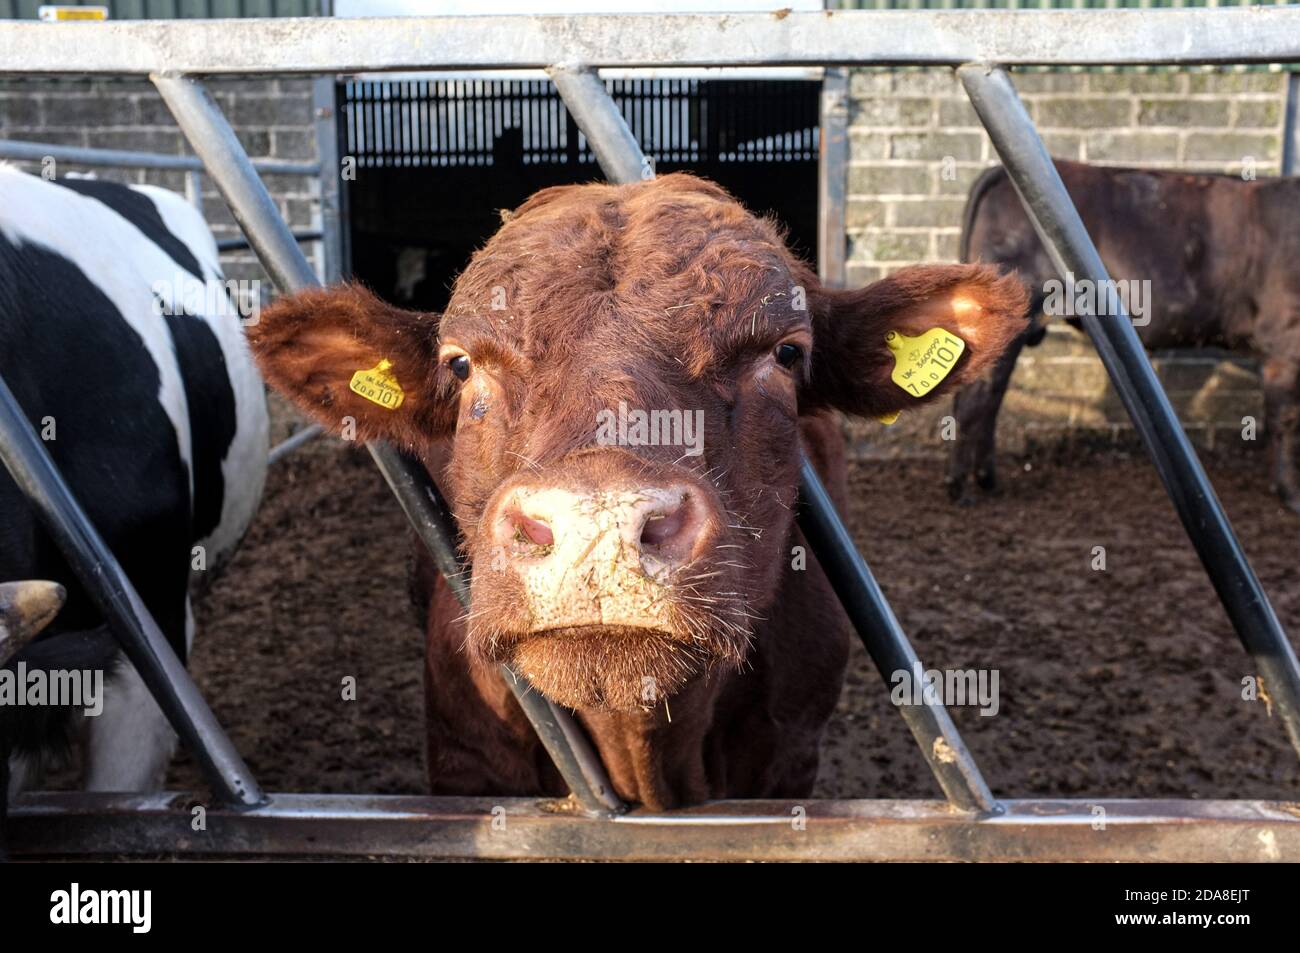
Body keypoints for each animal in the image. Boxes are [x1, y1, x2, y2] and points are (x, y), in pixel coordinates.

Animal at [946, 159, 1300, 509]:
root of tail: (998, 172)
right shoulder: (1285, 344)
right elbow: (1286, 419)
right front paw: (1289, 494)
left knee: (989, 397)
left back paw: (987, 481)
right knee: (974, 403)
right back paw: (960, 490)